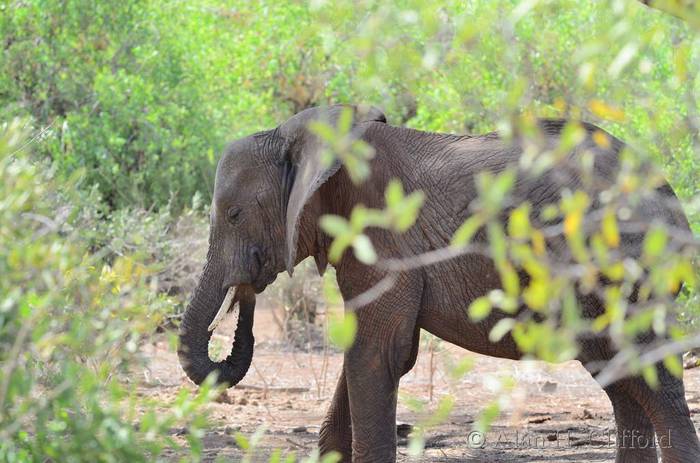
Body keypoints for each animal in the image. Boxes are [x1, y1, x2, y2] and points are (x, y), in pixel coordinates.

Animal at [177, 104, 700, 462]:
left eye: (234, 214)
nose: (245, 289)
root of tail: (670, 198)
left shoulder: (382, 236)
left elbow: (376, 353)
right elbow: (378, 354)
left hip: (625, 266)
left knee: (652, 378)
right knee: (621, 378)